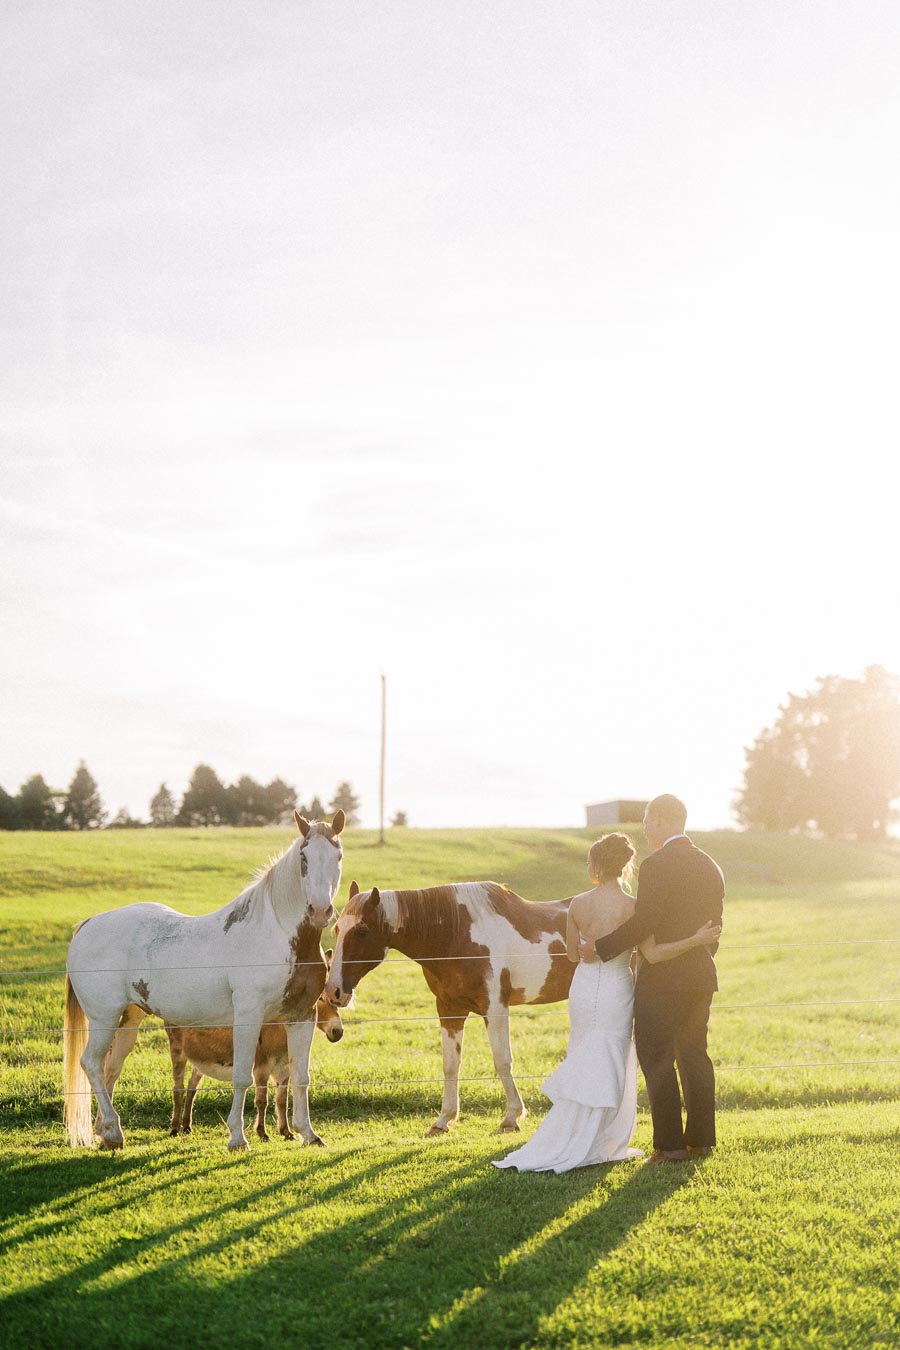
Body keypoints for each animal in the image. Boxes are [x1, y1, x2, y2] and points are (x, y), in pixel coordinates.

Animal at [166, 966, 344, 1142]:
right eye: (320, 999)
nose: (338, 1032)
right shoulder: (261, 1069)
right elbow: (262, 1100)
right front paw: (262, 1133)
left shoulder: (284, 1069)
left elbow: (282, 1101)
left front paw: (286, 1132)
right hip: (177, 1051)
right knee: (178, 1088)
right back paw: (174, 1128)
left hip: (200, 1060)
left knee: (192, 1087)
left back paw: (187, 1126)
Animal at [324, 880, 575, 1134]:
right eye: (337, 930)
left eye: (362, 932)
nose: (334, 991)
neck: (456, 935)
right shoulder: (449, 1010)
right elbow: (451, 1065)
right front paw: (444, 1119)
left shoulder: (495, 1008)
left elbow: (502, 1060)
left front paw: (512, 1117)